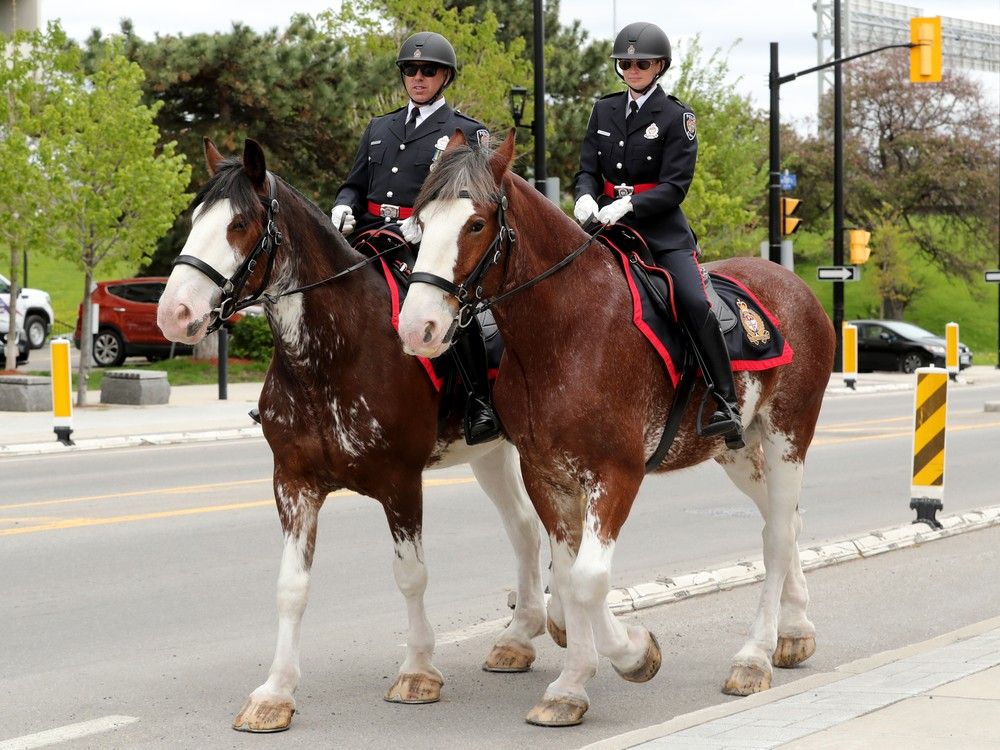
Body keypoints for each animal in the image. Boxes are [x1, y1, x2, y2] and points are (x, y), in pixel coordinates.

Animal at [156, 138, 548, 732]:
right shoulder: (293, 483)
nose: (174, 314)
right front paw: (276, 692)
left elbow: (411, 575)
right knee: (524, 528)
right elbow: (291, 587)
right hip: (489, 453)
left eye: (240, 224)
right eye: (195, 217)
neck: (331, 354)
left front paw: (418, 670)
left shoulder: (400, 483)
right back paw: (520, 636)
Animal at [396, 131, 837, 726]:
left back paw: (754, 655)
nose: (417, 327)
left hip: (788, 434)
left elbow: (587, 580)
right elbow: (567, 573)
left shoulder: (618, 474)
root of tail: (797, 286)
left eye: (476, 224)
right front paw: (570, 685)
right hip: (739, 451)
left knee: (776, 536)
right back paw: (794, 631)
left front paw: (631, 654)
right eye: (420, 220)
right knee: (784, 521)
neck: (564, 331)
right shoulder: (547, 475)